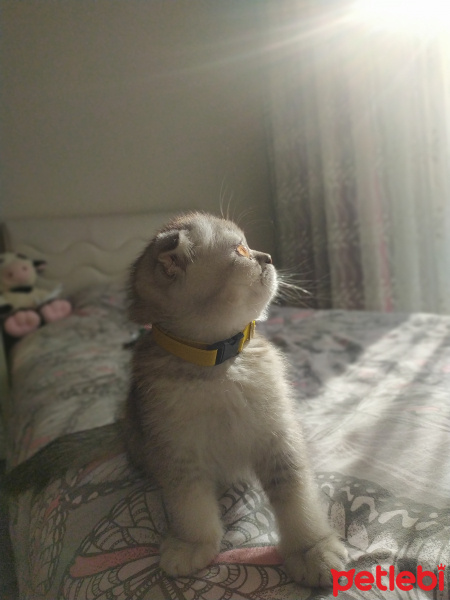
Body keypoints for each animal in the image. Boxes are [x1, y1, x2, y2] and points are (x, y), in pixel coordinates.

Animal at [5, 213, 346, 588]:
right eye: (240, 250)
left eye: (250, 245)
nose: (268, 257)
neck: (218, 369)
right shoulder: (177, 451)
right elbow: (190, 503)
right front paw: (193, 544)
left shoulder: (277, 437)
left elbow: (296, 496)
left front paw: (312, 549)